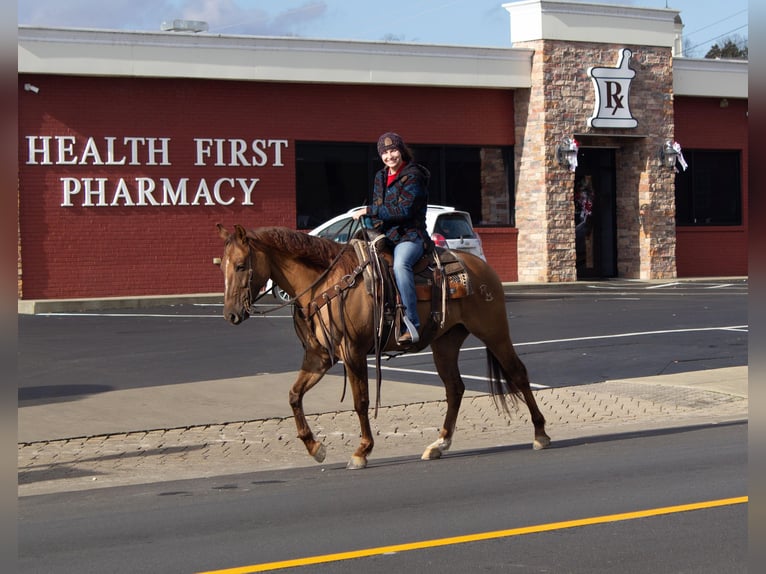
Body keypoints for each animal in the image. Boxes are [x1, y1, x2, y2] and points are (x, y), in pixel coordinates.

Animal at [216, 223, 552, 470]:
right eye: (223, 267)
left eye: (242, 265)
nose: (230, 315)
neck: (327, 284)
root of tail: (481, 267)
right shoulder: (319, 357)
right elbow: (294, 395)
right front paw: (315, 447)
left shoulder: (353, 352)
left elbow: (361, 402)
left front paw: (361, 451)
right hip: (446, 342)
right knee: (454, 388)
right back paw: (439, 444)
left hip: (494, 332)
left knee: (518, 374)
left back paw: (540, 433)